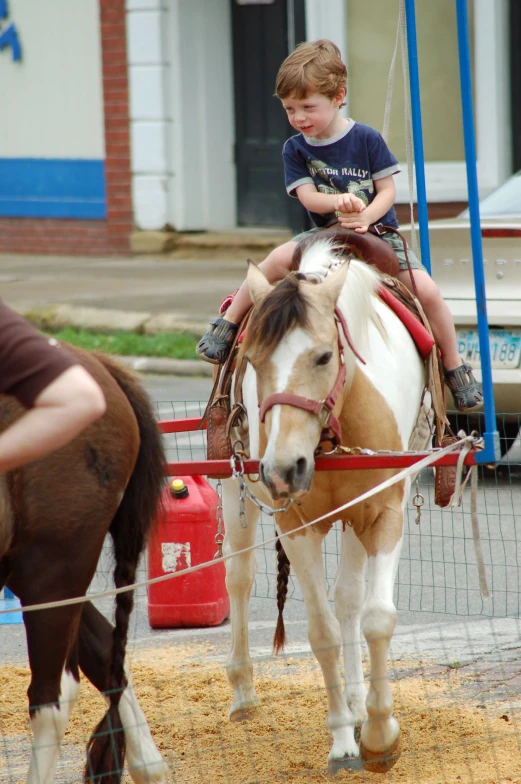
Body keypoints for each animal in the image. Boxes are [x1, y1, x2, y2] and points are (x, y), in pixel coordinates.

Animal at [221, 237, 428, 772]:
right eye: (252, 360)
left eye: (321, 357)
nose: (283, 467)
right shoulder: (295, 525)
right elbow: (321, 631)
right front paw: (342, 741)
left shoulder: (382, 511)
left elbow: (375, 616)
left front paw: (378, 732)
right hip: (233, 488)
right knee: (239, 577)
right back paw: (244, 692)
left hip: (354, 516)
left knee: (350, 597)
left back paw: (358, 704)